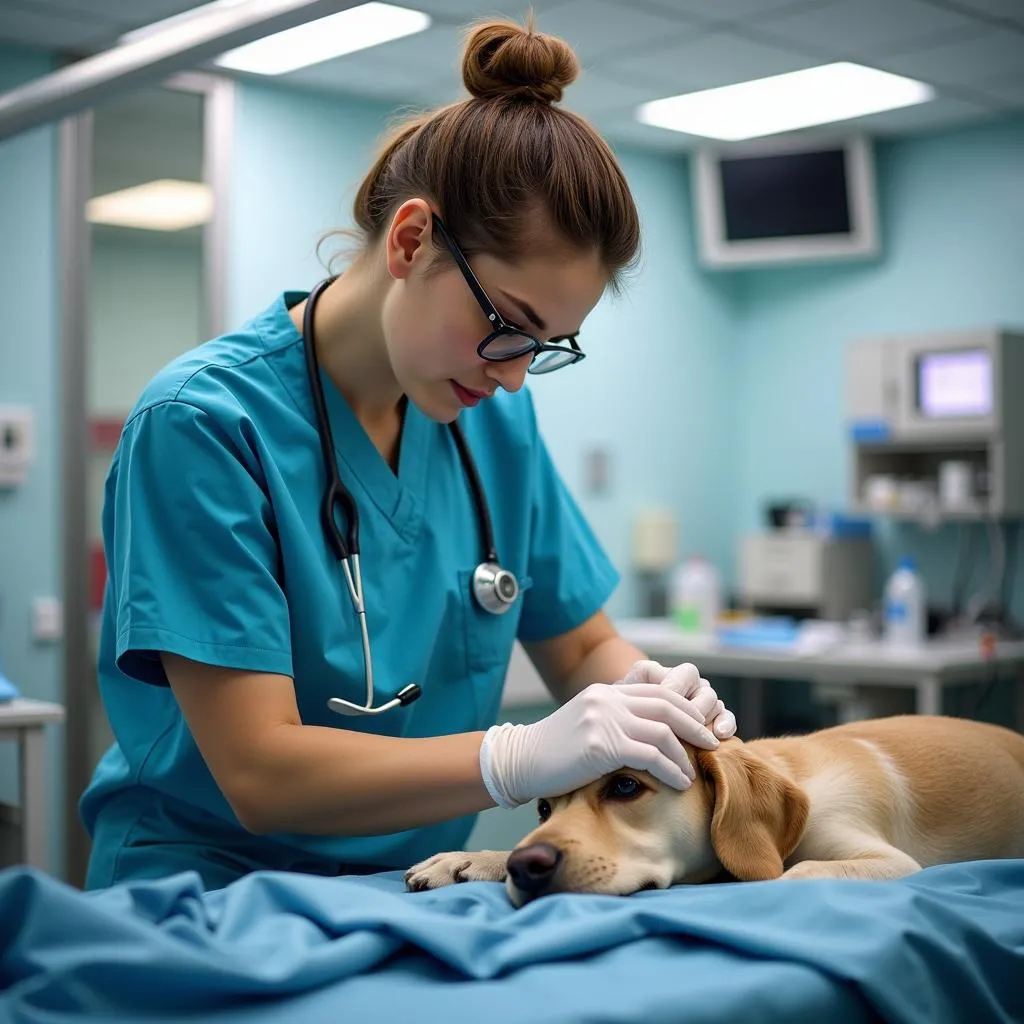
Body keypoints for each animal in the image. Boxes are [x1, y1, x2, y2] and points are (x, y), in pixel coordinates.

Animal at [405, 716, 1024, 909]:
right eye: (542, 807)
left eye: (625, 785)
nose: (526, 866)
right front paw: (473, 858)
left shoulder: (889, 861)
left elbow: (797, 873)